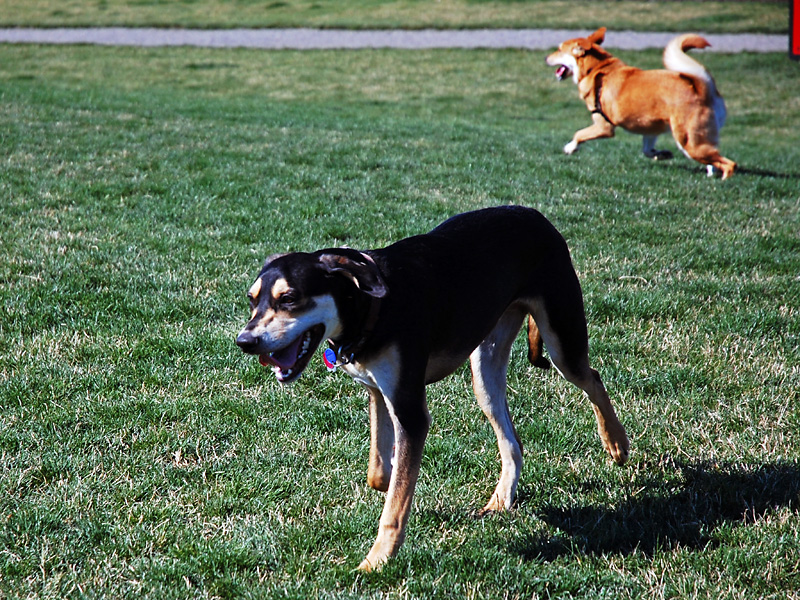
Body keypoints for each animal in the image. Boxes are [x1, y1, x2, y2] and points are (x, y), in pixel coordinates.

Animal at [234, 206, 628, 572]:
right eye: (253, 300)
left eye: (289, 298)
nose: (245, 342)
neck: (372, 307)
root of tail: (535, 215)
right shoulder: (380, 394)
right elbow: (380, 473)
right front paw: (395, 478)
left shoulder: (409, 410)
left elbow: (393, 506)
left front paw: (377, 560)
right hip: (485, 372)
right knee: (512, 443)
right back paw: (502, 498)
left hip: (562, 341)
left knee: (592, 377)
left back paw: (616, 443)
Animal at [544, 28, 736, 178]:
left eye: (559, 49)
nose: (545, 57)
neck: (597, 70)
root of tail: (703, 87)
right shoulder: (651, 129)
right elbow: (647, 150)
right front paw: (662, 154)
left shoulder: (603, 126)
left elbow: (578, 134)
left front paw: (570, 148)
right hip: (697, 138)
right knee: (713, 157)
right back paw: (711, 173)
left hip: (687, 141)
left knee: (728, 164)